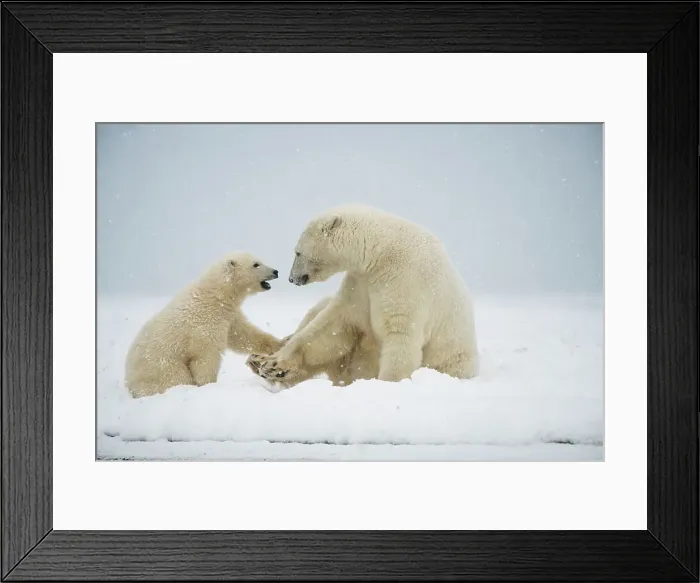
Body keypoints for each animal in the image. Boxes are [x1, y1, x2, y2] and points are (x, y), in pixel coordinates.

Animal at [125, 252, 283, 398]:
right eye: (256, 264)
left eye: (260, 261)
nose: (275, 271)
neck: (214, 295)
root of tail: (129, 384)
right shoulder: (205, 324)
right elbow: (206, 357)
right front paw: (208, 385)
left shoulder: (228, 316)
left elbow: (243, 335)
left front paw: (279, 343)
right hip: (161, 366)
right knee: (177, 377)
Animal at [247, 205, 478, 388]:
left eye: (297, 252)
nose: (292, 278)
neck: (382, 253)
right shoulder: (360, 284)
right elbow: (332, 325)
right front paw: (274, 364)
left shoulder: (406, 283)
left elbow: (400, 336)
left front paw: (387, 384)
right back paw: (259, 359)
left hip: (453, 359)